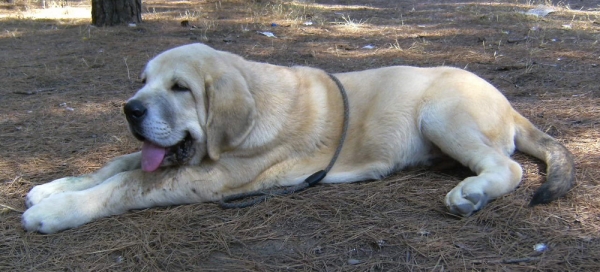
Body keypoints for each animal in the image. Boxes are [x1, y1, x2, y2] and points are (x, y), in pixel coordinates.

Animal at [23, 43, 576, 233]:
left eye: (180, 88)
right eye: (143, 82)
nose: (130, 109)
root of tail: (508, 102)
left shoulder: (215, 177)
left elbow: (128, 183)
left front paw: (57, 211)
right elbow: (116, 164)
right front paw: (54, 187)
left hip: (441, 113)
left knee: (508, 166)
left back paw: (471, 193)